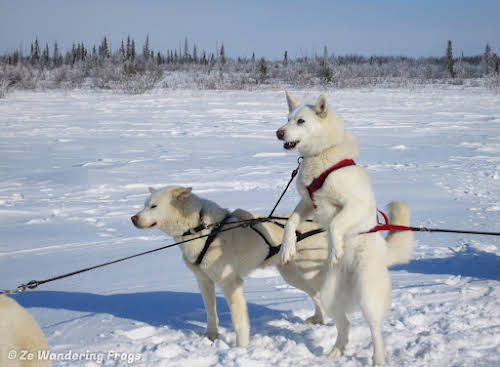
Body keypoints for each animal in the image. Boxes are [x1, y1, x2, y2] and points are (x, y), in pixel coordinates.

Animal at [131, 187, 330, 348]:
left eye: (153, 206)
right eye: (145, 205)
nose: (133, 218)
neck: (202, 229)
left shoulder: (230, 283)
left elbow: (239, 322)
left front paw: (241, 348)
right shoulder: (204, 281)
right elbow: (211, 312)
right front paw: (211, 336)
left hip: (310, 273)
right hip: (293, 277)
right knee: (317, 295)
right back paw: (319, 319)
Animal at [276, 92, 412, 366]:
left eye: (301, 121)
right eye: (287, 118)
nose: (279, 133)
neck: (321, 157)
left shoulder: (354, 205)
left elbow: (336, 225)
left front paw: (335, 248)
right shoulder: (308, 203)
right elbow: (291, 222)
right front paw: (287, 249)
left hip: (368, 294)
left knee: (375, 329)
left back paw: (378, 358)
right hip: (330, 296)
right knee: (345, 324)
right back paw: (337, 350)